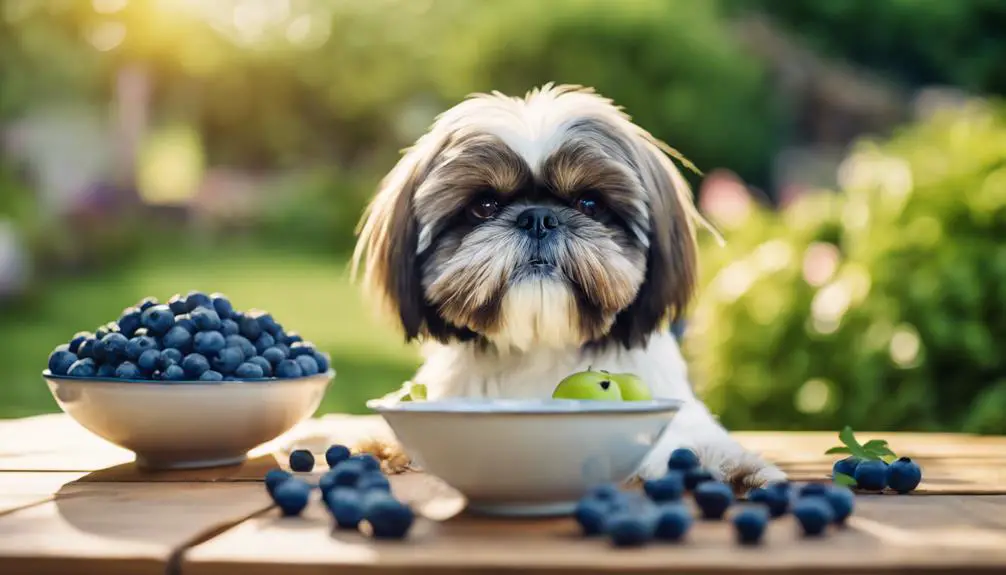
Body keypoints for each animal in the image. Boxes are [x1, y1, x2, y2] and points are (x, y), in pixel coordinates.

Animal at [354, 84, 784, 490]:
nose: (538, 218)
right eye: (484, 206)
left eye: (589, 203)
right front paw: (383, 447)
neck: (541, 345)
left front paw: (737, 469)